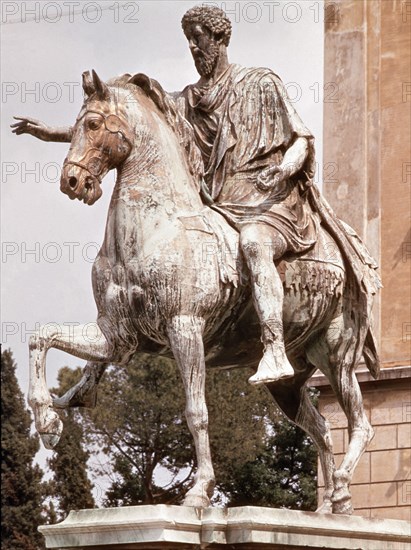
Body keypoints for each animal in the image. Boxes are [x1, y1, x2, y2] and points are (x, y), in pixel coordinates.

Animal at [27, 70, 382, 516]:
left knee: (362, 424)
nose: (72, 181)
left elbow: (196, 411)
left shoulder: (184, 327)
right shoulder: (116, 336)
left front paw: (198, 492)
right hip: (292, 382)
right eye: (70, 129)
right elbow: (40, 337)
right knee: (321, 427)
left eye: (92, 124)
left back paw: (340, 489)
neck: (156, 227)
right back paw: (332, 507)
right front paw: (47, 422)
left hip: (336, 357)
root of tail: (348, 253)